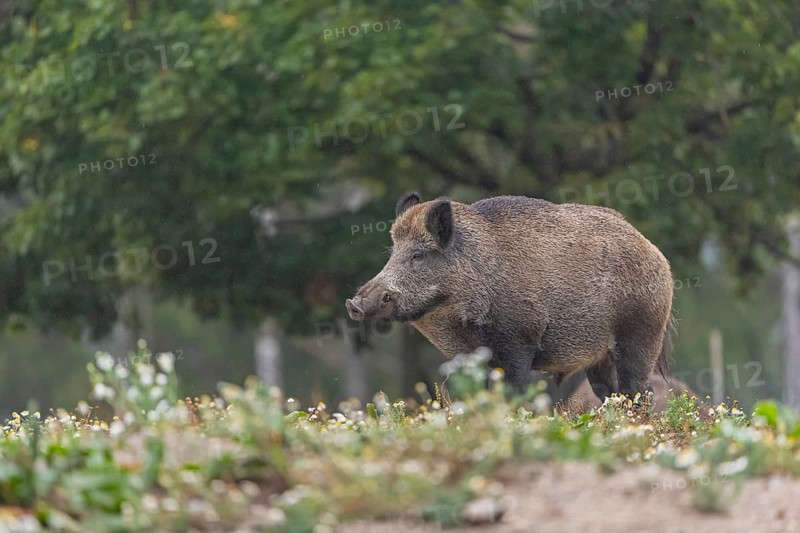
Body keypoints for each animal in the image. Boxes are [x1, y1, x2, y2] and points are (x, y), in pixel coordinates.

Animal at [345, 192, 674, 400]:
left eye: (418, 255)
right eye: (393, 252)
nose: (354, 304)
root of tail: (657, 254)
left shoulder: (520, 340)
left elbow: (514, 392)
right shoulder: (469, 356)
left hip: (641, 333)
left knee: (639, 391)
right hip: (598, 357)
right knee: (611, 394)